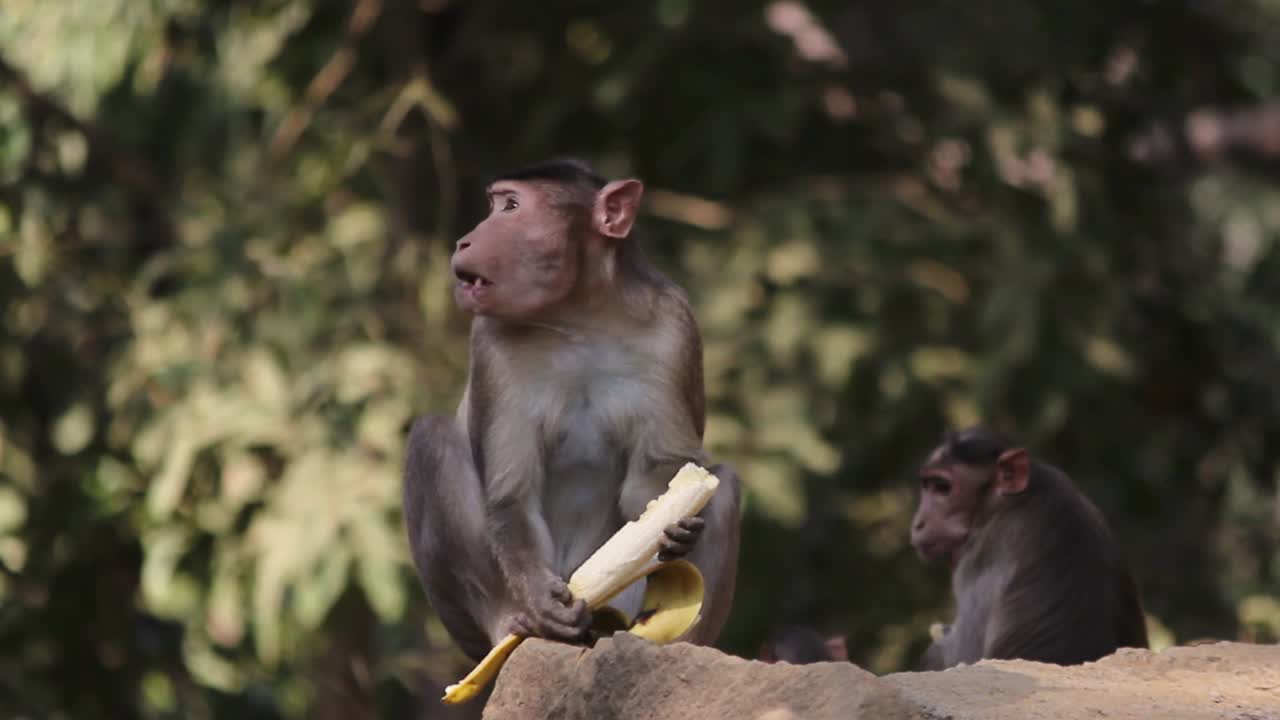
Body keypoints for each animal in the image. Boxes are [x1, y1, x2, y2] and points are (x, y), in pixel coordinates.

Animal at [402, 159, 742, 662]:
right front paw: (539, 599)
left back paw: (683, 648)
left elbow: (660, 473)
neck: (580, 320)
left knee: (727, 483)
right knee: (432, 439)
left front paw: (679, 531)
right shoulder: (491, 341)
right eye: (496, 204)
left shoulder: (675, 325)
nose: (464, 240)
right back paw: (514, 623)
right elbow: (511, 493)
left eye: (510, 206)